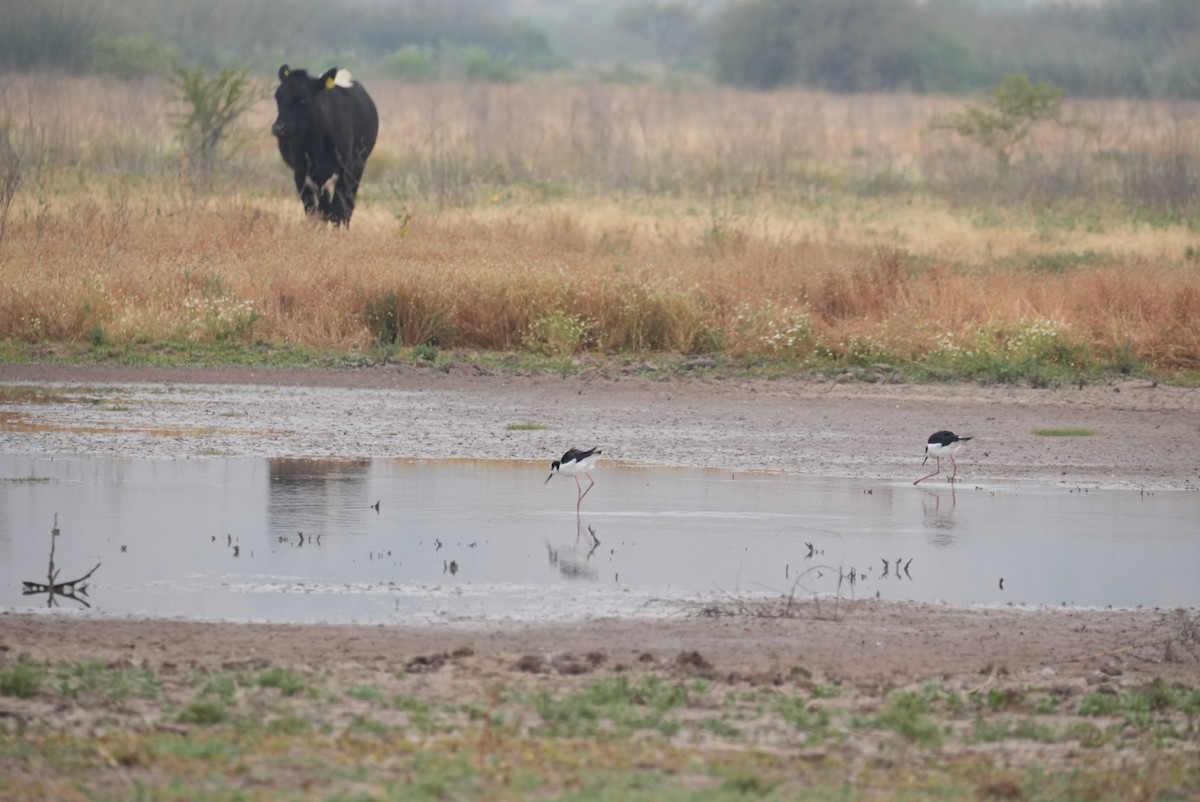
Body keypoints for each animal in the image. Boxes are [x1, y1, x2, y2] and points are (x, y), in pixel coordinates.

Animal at [271, 64, 379, 227]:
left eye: (303, 99)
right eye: (278, 97)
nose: (278, 129)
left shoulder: (345, 170)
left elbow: (337, 210)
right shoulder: (301, 173)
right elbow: (312, 209)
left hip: (358, 166)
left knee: (348, 204)